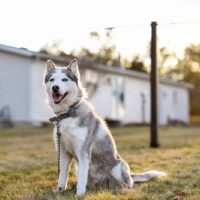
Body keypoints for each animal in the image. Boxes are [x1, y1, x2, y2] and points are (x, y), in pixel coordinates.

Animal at [44, 58, 166, 196]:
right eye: (52, 80)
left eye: (64, 79)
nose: (55, 87)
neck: (67, 114)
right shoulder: (64, 152)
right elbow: (62, 176)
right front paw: (59, 191)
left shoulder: (83, 153)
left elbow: (81, 177)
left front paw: (79, 195)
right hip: (79, 167)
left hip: (118, 167)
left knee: (125, 184)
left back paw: (119, 188)